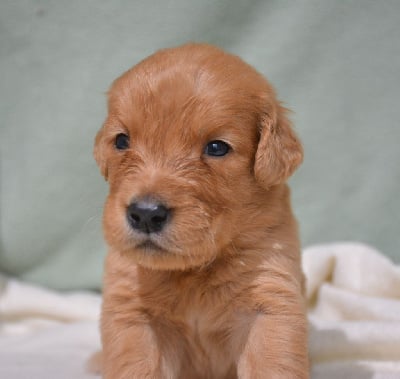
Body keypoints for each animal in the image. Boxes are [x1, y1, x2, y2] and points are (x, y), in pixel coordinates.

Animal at [94, 43, 310, 378]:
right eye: (121, 141)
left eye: (217, 148)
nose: (146, 213)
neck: (194, 271)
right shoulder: (132, 309)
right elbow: (137, 366)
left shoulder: (269, 299)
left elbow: (272, 364)